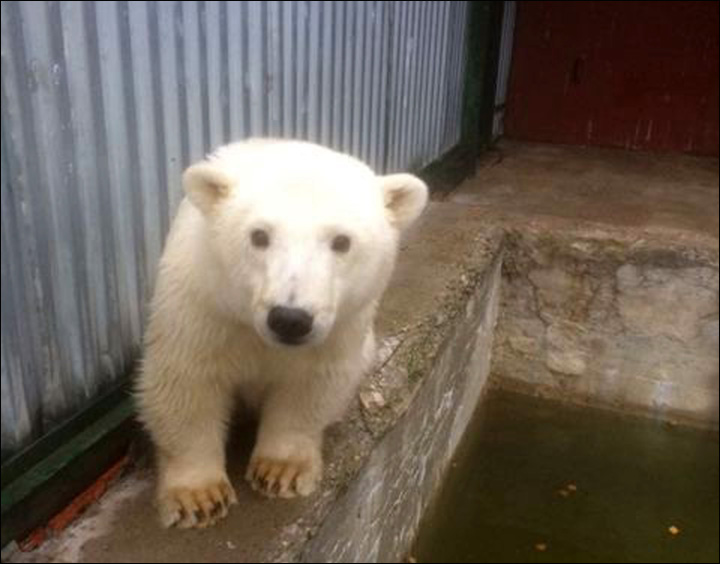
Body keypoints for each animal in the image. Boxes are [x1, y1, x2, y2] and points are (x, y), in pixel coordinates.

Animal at [135, 139, 428, 528]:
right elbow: (186, 382)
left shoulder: (339, 326)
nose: (290, 318)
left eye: (342, 241)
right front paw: (198, 498)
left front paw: (280, 471)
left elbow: (309, 384)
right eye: (259, 235)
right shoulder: (203, 304)